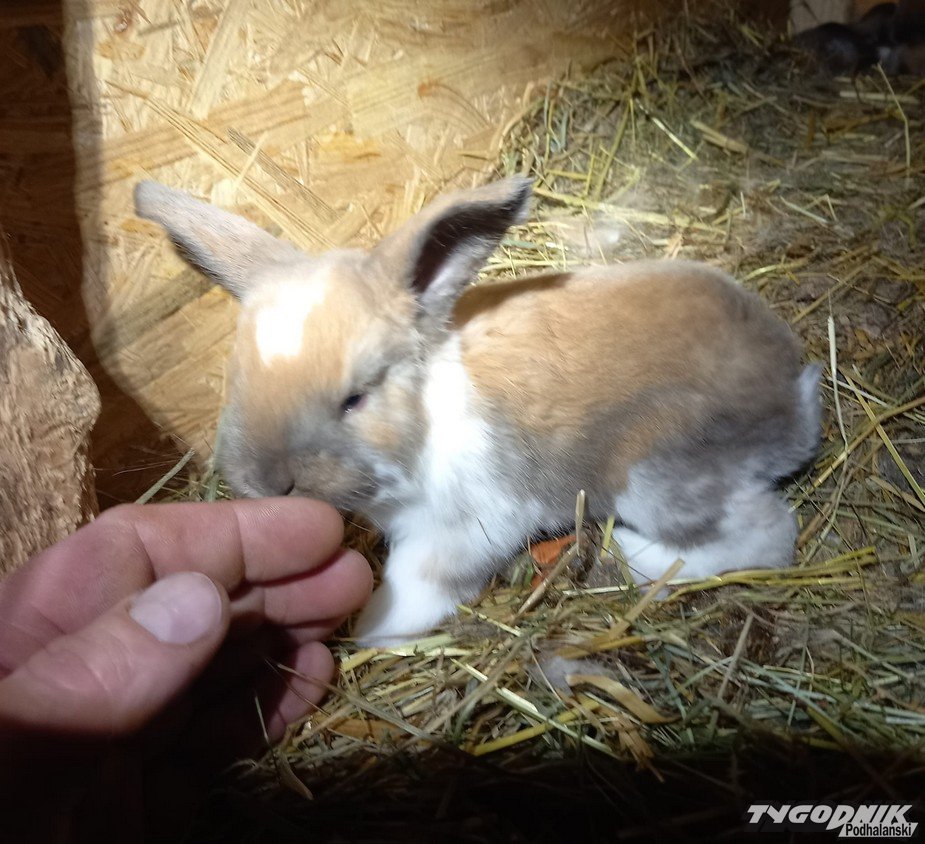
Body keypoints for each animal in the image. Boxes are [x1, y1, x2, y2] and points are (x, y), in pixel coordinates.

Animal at [134, 177, 821, 645]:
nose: (266, 481)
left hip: (656, 477)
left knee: (767, 534)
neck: (424, 419)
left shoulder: (467, 525)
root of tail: (796, 393)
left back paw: (634, 555)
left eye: (356, 396)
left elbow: (418, 582)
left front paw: (369, 630)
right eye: (236, 376)